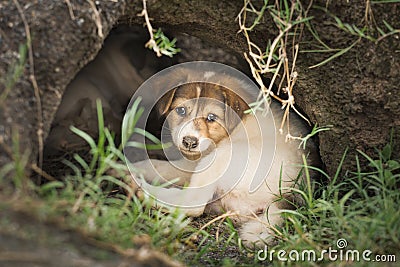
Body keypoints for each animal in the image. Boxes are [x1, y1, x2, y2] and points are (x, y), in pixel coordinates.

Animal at [132, 79, 318, 249]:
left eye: (211, 118)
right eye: (181, 110)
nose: (189, 142)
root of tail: (288, 193)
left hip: (222, 155)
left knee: (193, 203)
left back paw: (140, 188)